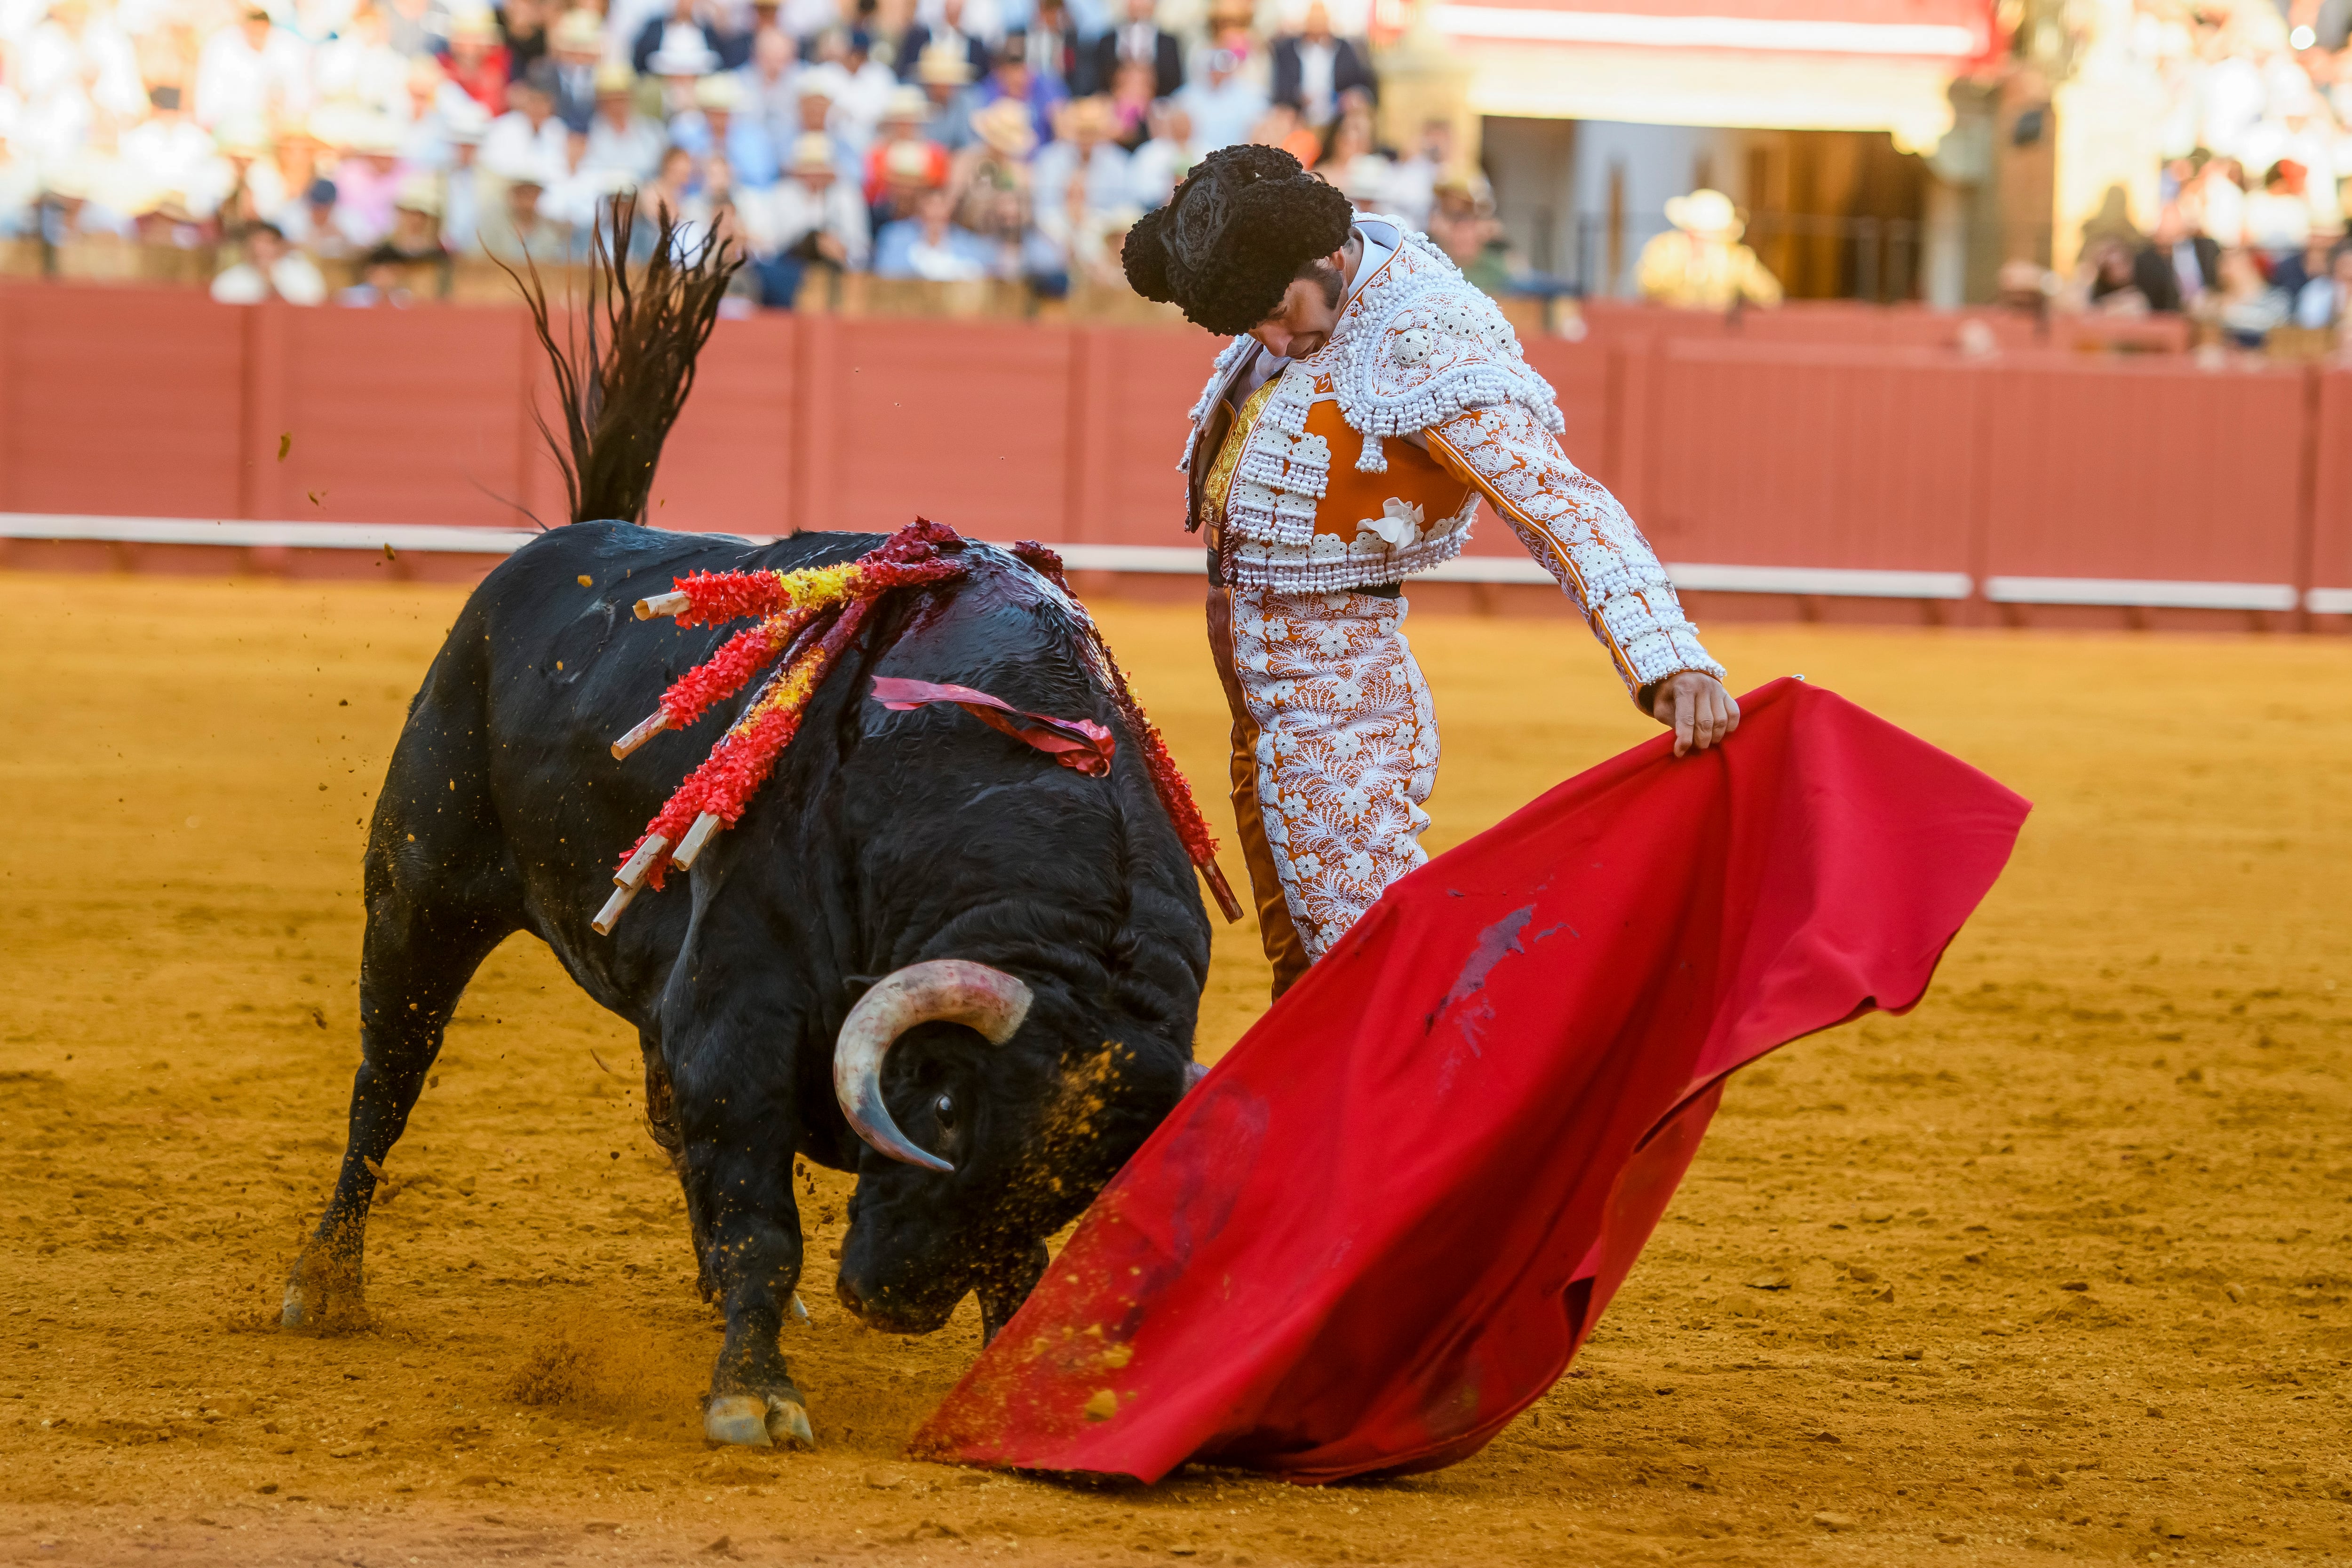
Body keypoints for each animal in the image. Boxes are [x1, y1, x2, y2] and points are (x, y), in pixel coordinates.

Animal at [285, 524, 1214, 1448]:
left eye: (1082, 1182)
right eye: (948, 1108)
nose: (895, 1303)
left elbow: (1015, 1265)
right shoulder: (737, 1018)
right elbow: (762, 1226)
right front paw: (754, 1395)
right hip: (420, 903)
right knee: (387, 1084)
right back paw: (325, 1285)